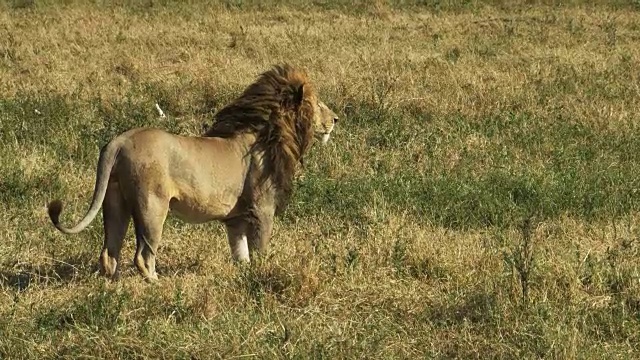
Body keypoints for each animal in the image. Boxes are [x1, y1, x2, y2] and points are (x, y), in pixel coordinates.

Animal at [48, 64, 340, 282]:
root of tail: (119, 141)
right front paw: (262, 272)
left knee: (109, 254)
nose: (336, 119)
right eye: (318, 104)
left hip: (115, 202)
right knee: (143, 255)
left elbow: (241, 253)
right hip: (152, 206)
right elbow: (260, 249)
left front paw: (243, 275)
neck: (270, 132)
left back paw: (114, 287)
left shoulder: (235, 219)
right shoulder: (262, 209)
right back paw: (156, 283)